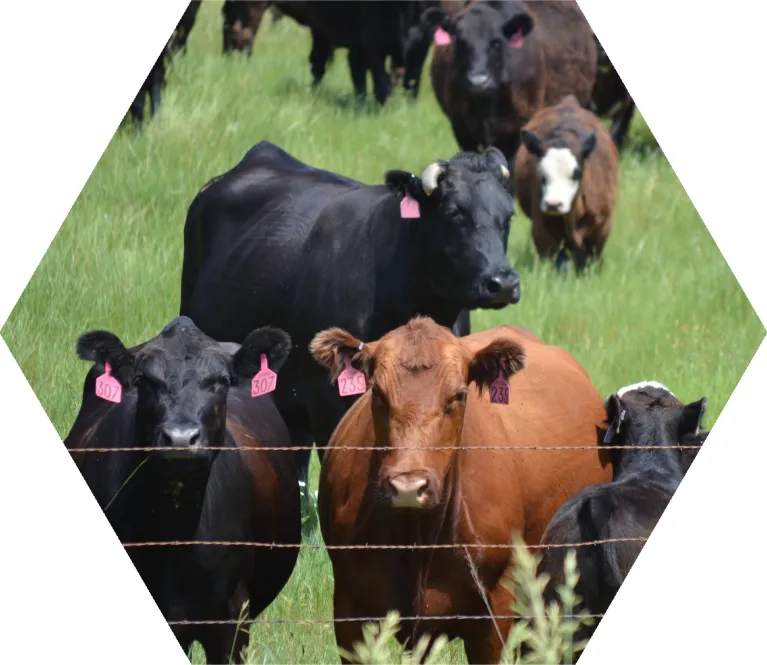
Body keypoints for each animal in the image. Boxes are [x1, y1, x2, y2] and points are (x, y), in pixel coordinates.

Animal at [514, 95, 619, 274]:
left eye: (575, 173)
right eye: (542, 174)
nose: (553, 204)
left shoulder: (602, 226)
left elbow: (591, 260)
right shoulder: (542, 228)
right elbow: (559, 262)